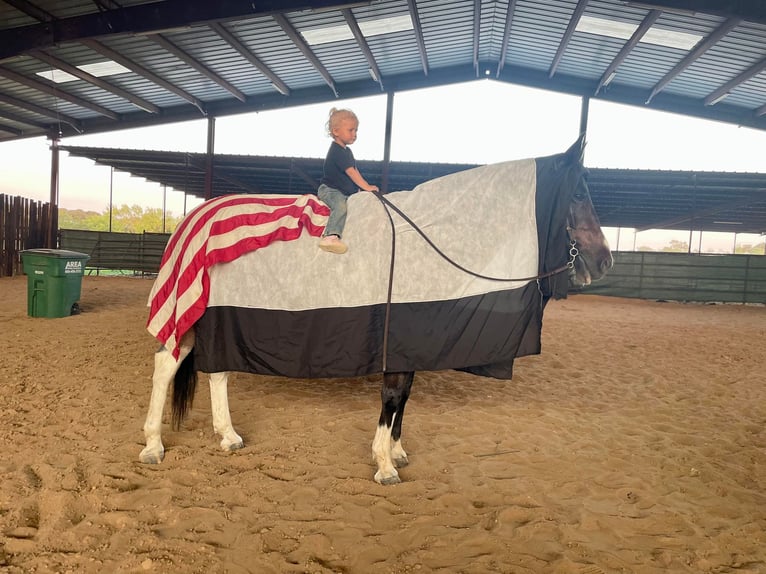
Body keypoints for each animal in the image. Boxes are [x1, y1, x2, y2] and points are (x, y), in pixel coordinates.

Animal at [141, 136, 616, 486]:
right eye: (578, 193)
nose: (604, 262)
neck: (436, 238)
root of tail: (193, 219)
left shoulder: (414, 338)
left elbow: (404, 398)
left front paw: (398, 452)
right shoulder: (398, 337)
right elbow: (392, 396)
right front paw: (384, 464)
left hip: (220, 321)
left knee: (216, 372)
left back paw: (229, 436)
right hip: (193, 316)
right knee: (166, 366)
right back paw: (153, 445)